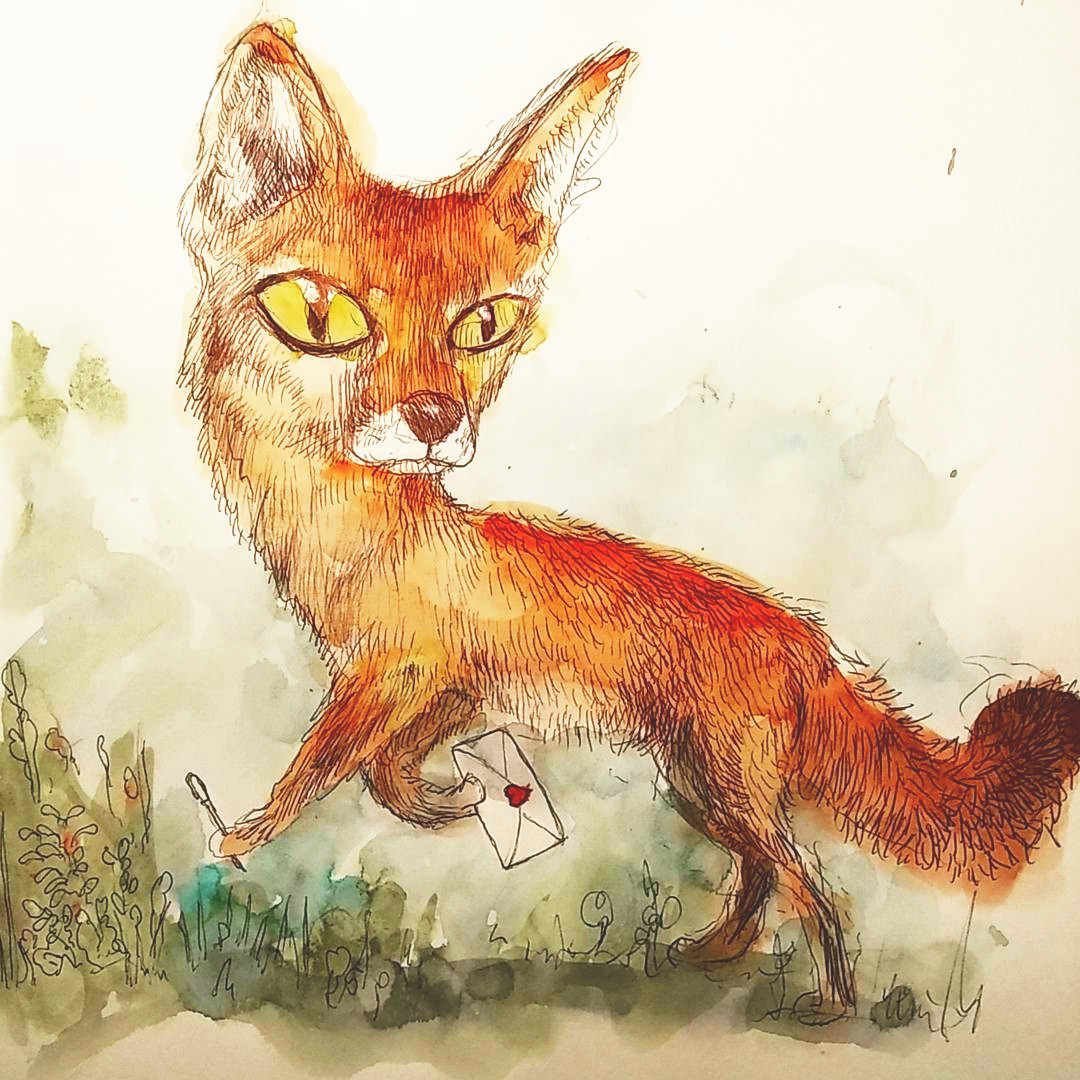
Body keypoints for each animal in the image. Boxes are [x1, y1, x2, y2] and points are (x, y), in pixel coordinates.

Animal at [178, 20, 1080, 1012]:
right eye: (319, 313)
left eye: (485, 325)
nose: (435, 419)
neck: (353, 532)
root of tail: (810, 642)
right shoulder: (446, 680)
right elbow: (384, 767)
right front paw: (440, 800)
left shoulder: (395, 670)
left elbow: (321, 766)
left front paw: (246, 831)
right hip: (700, 790)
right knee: (766, 875)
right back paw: (714, 953)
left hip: (723, 787)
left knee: (808, 881)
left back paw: (830, 1000)